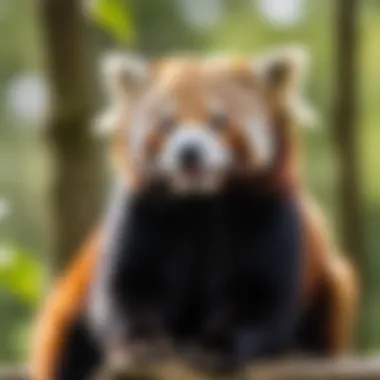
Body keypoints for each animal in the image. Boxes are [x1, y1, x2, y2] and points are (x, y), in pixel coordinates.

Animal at [30, 48, 360, 380]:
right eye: (166, 124)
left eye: (219, 121)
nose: (189, 151)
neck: (200, 203)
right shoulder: (141, 212)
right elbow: (127, 286)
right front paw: (142, 342)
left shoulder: (270, 212)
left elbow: (261, 297)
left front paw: (216, 347)